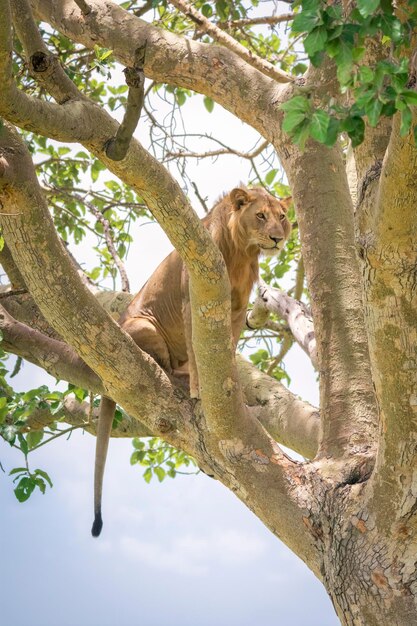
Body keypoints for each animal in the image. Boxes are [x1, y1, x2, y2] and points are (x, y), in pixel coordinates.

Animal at [92, 186, 290, 536]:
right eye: (260, 215)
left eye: (282, 217)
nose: (277, 239)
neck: (242, 253)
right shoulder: (193, 301)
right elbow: (200, 355)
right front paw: (200, 390)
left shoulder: (237, 309)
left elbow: (226, 350)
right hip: (143, 324)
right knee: (163, 367)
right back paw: (180, 379)